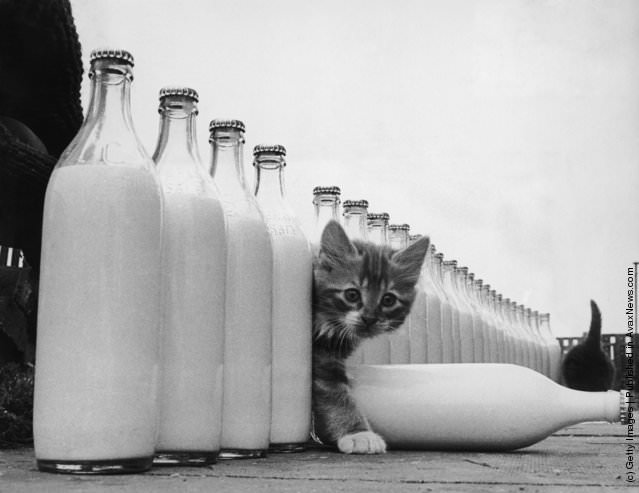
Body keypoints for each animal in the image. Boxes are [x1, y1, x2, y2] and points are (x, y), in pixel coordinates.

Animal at [312, 219, 430, 454]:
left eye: (388, 300)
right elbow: (337, 396)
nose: (369, 318)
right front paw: (358, 434)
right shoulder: (320, 359)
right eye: (352, 294)